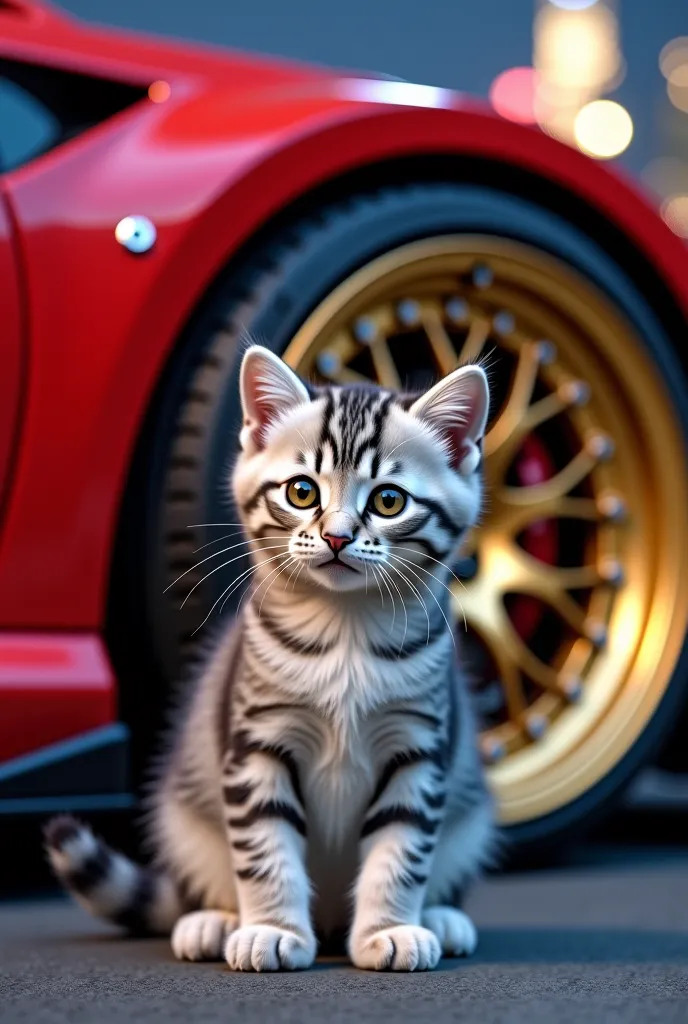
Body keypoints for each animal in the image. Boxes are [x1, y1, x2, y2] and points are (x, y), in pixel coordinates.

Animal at [45, 346, 497, 974]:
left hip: (467, 818)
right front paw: (273, 930)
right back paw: (215, 921)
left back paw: (439, 917)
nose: (336, 537)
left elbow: (401, 853)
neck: (344, 627)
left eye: (388, 500)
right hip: (187, 815)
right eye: (302, 492)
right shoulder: (257, 745)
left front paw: (388, 929)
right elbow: (264, 850)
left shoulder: (418, 750)